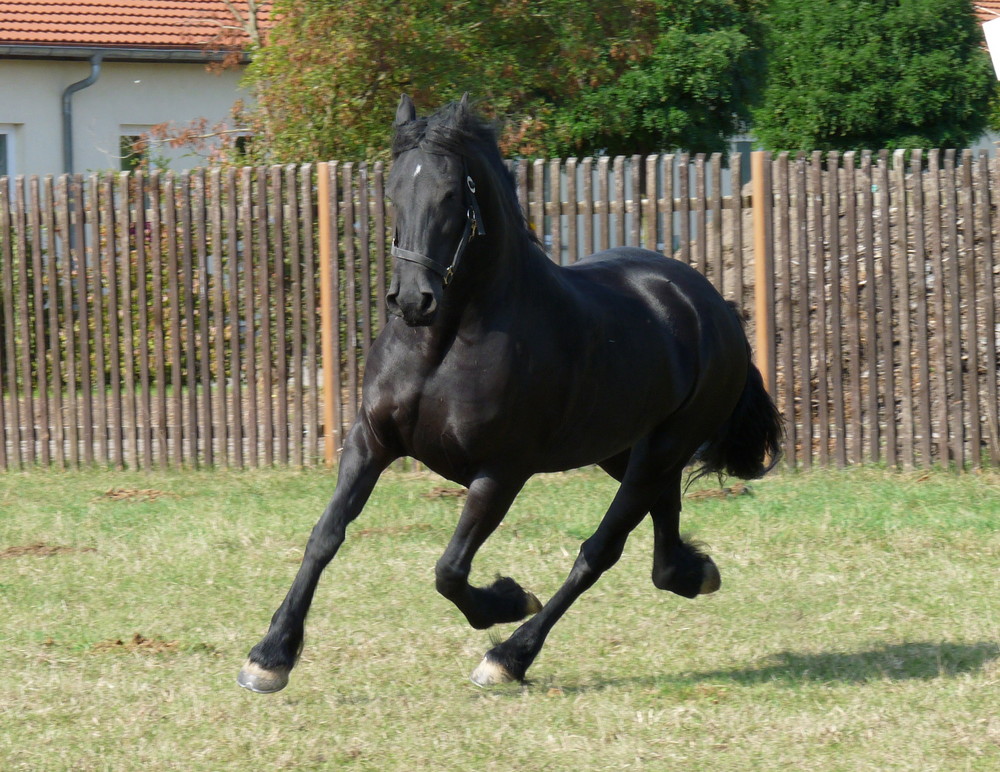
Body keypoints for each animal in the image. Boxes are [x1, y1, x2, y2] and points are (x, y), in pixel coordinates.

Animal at [238, 95, 784, 692]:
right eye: (393, 190)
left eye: (452, 193)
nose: (413, 300)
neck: (442, 346)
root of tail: (712, 305)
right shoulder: (371, 442)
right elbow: (325, 535)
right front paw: (269, 656)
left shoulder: (501, 473)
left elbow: (449, 570)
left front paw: (508, 600)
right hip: (627, 451)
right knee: (661, 530)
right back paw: (694, 573)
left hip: (662, 449)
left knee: (599, 552)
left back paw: (510, 656)